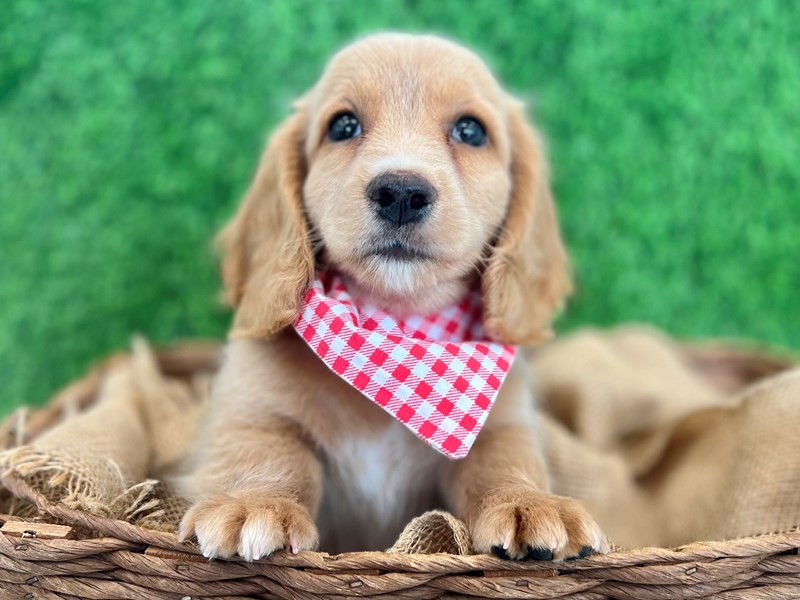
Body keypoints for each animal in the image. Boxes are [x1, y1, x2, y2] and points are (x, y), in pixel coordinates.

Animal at [177, 33, 608, 561]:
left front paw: (530, 502)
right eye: (343, 125)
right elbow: (267, 452)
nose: (401, 192)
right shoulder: (254, 409)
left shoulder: (501, 425)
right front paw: (252, 503)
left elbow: (501, 461)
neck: (396, 323)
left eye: (470, 130)